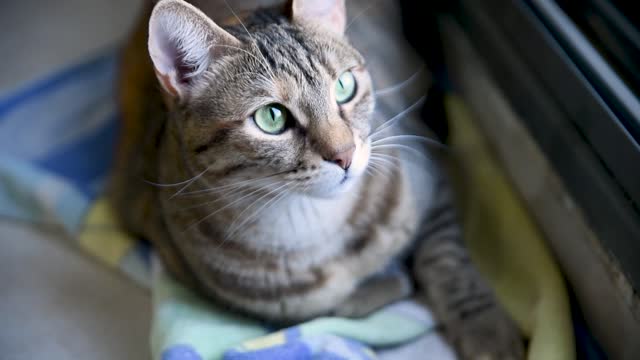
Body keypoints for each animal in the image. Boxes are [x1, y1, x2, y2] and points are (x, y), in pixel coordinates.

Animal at [111, 0, 524, 358]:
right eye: (271, 117)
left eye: (344, 86)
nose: (344, 154)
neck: (314, 227)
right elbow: (327, 306)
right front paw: (385, 285)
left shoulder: (429, 176)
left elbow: (448, 261)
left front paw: (485, 328)